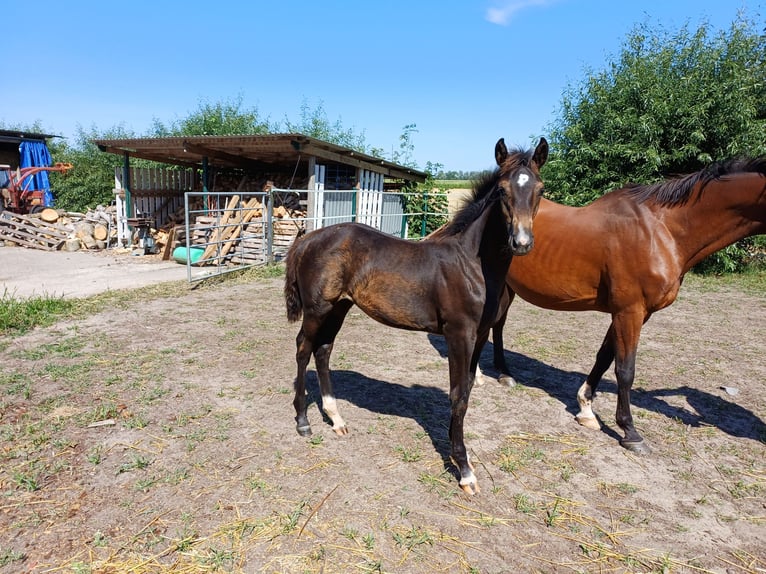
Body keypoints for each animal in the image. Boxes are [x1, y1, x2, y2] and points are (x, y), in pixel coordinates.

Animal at [284, 137, 548, 494]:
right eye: (503, 190)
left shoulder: (480, 335)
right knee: (303, 348)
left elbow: (466, 390)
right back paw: (303, 421)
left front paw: (456, 453)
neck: (471, 263)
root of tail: (308, 238)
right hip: (317, 308)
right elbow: (457, 396)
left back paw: (336, 418)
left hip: (339, 306)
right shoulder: (458, 333)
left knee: (323, 350)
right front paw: (464, 469)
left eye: (540, 189)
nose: (521, 242)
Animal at [487, 155, 766, 453]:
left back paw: (504, 373)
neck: (662, 230)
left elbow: (604, 357)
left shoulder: (632, 313)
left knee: (497, 325)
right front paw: (630, 431)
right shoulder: (630, 311)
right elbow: (625, 369)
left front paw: (586, 409)